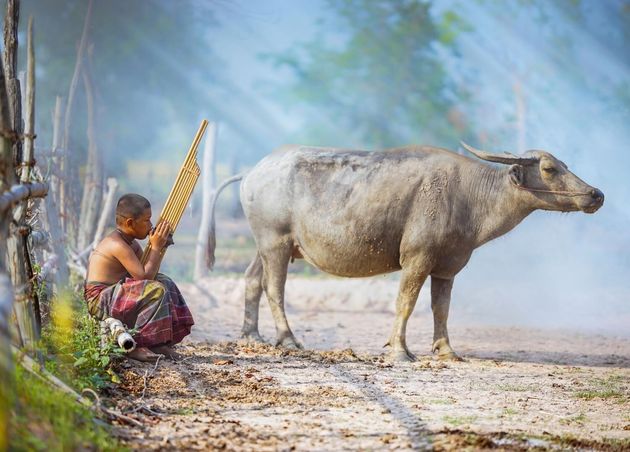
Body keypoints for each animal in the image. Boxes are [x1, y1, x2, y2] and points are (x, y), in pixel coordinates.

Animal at [206, 143, 604, 362]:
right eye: (550, 169)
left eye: (565, 166)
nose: (596, 194)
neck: (469, 197)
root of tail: (253, 172)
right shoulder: (417, 258)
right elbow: (406, 303)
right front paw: (399, 351)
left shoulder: (447, 267)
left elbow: (441, 309)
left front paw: (446, 351)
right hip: (274, 241)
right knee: (274, 288)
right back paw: (288, 339)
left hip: (270, 245)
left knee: (251, 280)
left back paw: (251, 335)